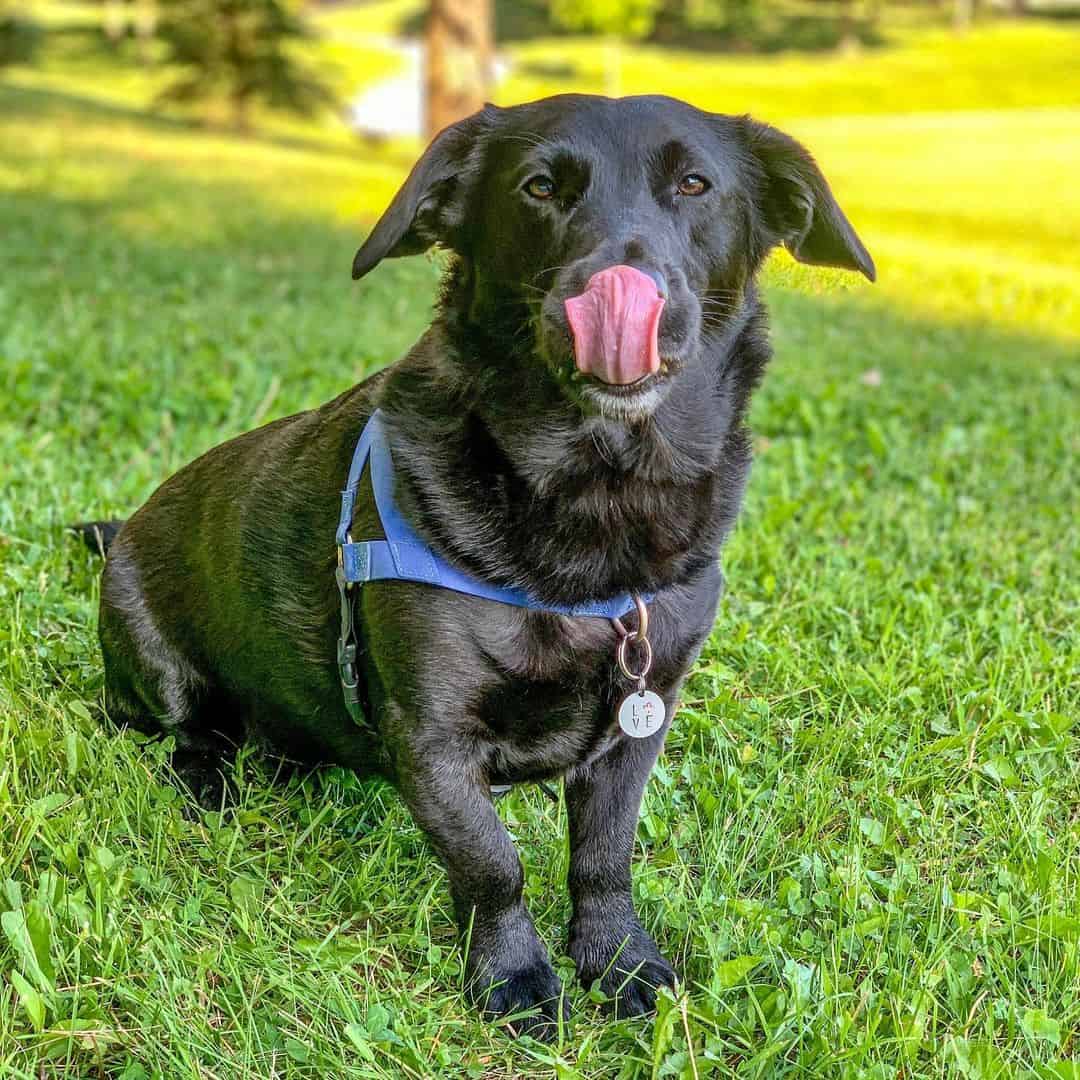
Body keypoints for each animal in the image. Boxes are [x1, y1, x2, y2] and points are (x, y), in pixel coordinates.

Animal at [78, 95, 868, 1036]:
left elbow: (604, 857)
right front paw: (515, 975)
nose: (612, 288)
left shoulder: (640, 725)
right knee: (184, 727)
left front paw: (617, 960)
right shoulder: (433, 738)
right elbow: (493, 864)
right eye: (539, 189)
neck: (593, 500)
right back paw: (210, 776)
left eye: (694, 184)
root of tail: (126, 529)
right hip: (155, 656)